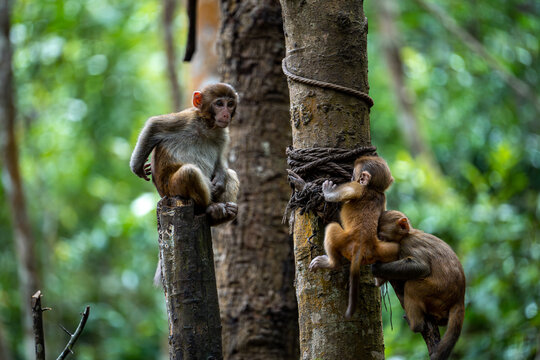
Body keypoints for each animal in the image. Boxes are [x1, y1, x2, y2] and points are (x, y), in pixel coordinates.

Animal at [130, 83, 239, 226]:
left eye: (230, 104)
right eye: (219, 103)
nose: (226, 114)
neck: (207, 126)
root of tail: (163, 195)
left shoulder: (223, 134)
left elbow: (219, 161)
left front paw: (220, 179)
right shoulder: (186, 119)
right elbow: (154, 125)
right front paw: (137, 167)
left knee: (230, 173)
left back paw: (222, 215)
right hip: (172, 191)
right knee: (189, 172)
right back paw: (209, 208)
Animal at [308, 155, 400, 318]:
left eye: (353, 175)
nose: (350, 176)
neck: (373, 189)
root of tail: (361, 247)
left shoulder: (357, 187)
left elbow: (334, 197)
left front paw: (328, 190)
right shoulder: (382, 197)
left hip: (344, 241)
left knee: (332, 229)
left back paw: (331, 263)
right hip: (380, 250)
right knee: (396, 249)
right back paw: (381, 279)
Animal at [374, 210, 466, 360]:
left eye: (381, 237)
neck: (408, 234)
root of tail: (460, 298)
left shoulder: (407, 245)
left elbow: (421, 267)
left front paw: (377, 268)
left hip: (436, 292)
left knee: (411, 286)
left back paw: (416, 325)